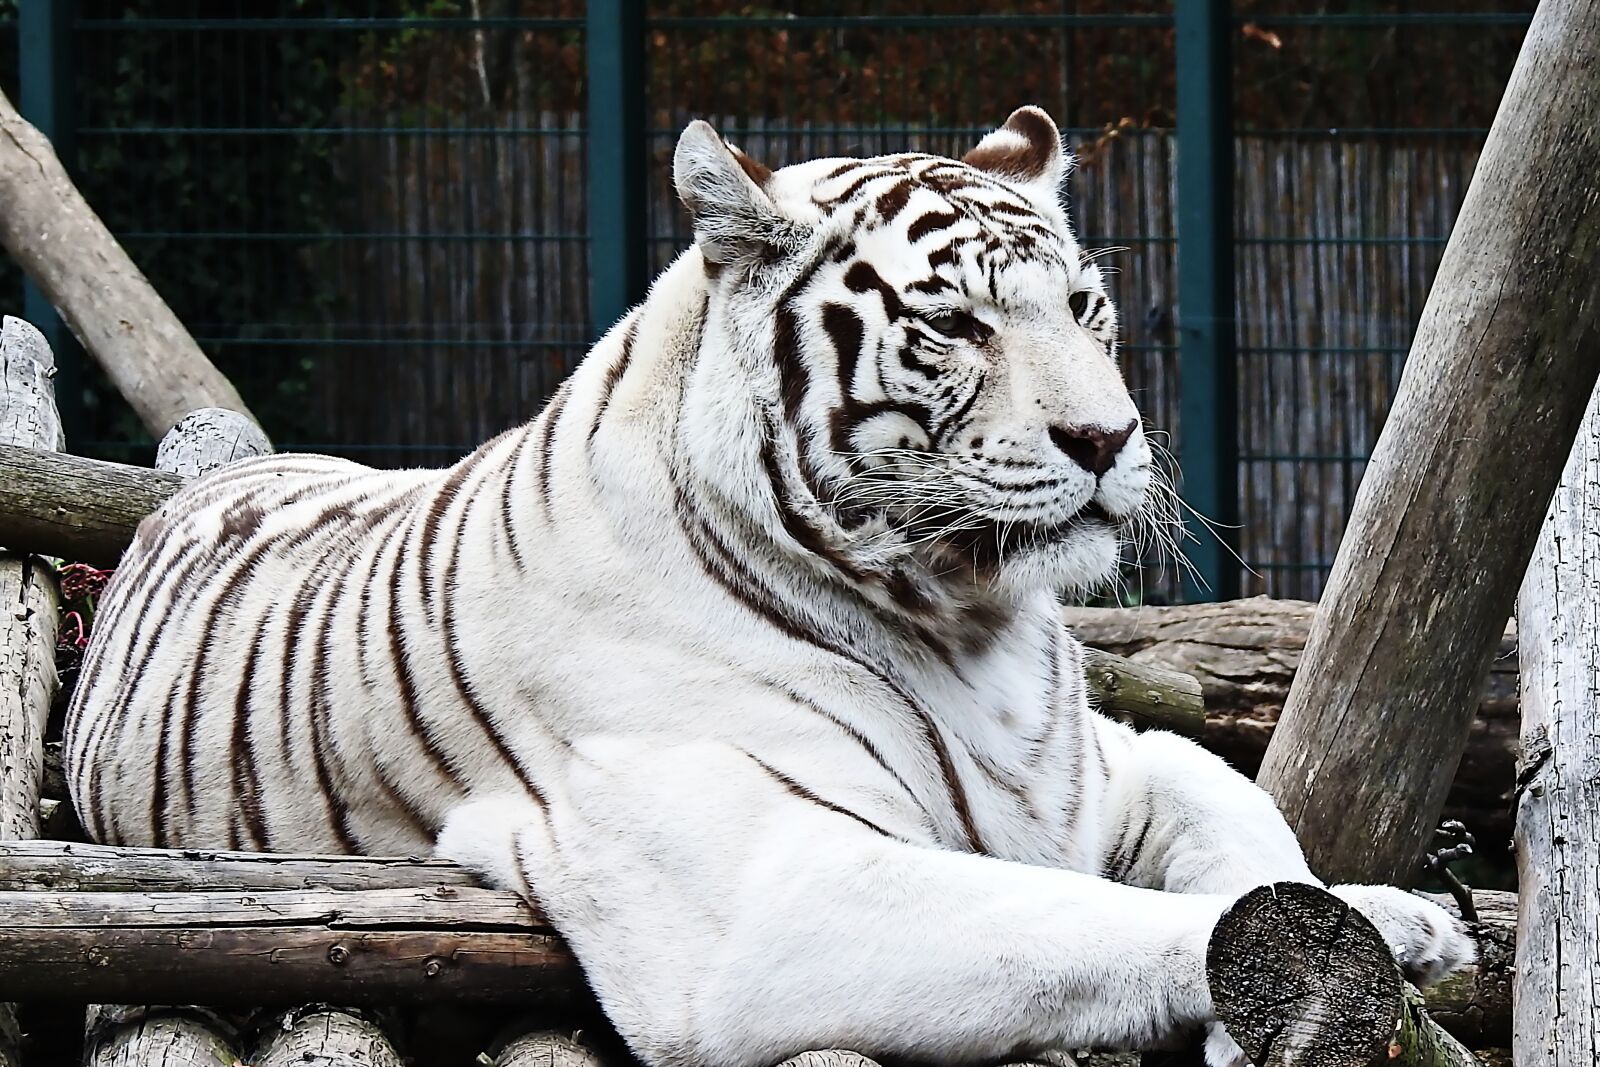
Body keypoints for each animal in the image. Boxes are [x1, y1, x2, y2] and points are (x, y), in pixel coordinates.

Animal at [65, 107, 1471, 1067]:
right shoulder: (760, 895)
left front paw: (1389, 931)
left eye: (1083, 306)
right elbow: (1084, 917)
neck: (965, 622)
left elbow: (1252, 836)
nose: (1107, 436)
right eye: (955, 325)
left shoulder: (1116, 762)